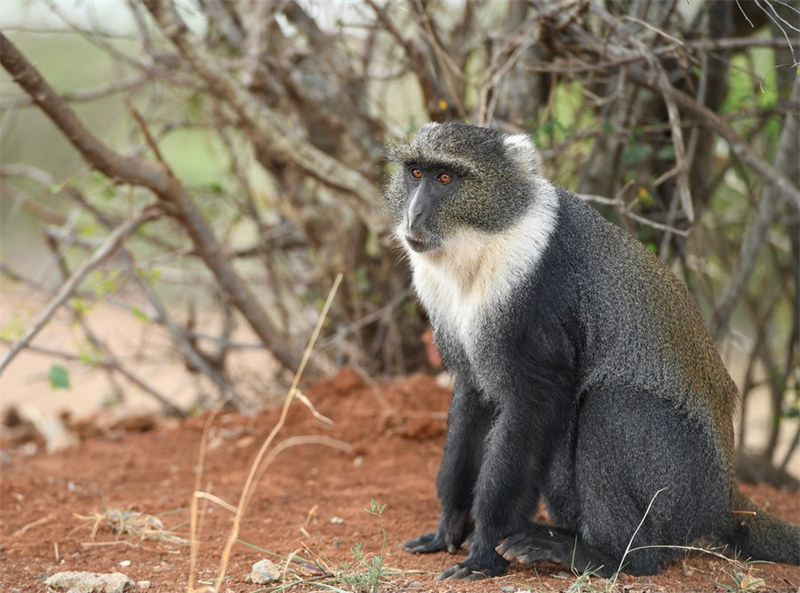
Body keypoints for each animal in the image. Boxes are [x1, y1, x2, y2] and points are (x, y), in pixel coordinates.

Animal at [384, 120, 800, 580]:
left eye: (446, 178)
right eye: (415, 173)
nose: (414, 214)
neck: (484, 239)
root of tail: (727, 499)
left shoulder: (536, 302)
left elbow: (533, 402)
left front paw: (483, 553)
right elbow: (473, 400)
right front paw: (451, 525)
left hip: (682, 487)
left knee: (611, 406)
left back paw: (607, 555)